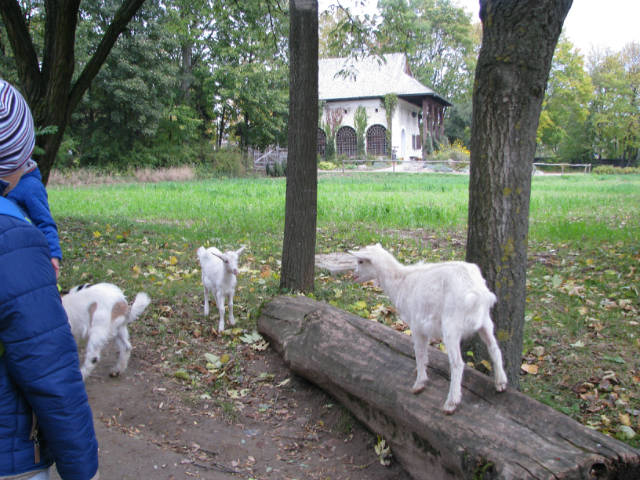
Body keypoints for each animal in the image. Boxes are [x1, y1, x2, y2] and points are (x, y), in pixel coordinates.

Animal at [348, 244, 508, 412]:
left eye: (360, 261)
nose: (353, 275)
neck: (401, 282)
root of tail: (478, 293)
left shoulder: (417, 325)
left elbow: (419, 353)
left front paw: (419, 383)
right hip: (485, 321)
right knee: (494, 348)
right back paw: (501, 382)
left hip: (451, 326)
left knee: (457, 363)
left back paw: (451, 402)